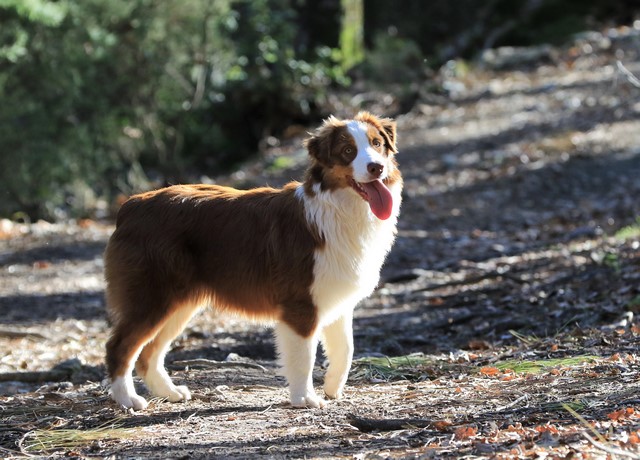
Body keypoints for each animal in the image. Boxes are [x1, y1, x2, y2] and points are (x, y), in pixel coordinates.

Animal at [104, 111, 402, 410]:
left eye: (377, 144)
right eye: (348, 151)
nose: (376, 168)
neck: (339, 207)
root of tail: (131, 205)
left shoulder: (336, 298)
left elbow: (346, 349)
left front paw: (332, 387)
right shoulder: (299, 304)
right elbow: (304, 356)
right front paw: (305, 398)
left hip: (179, 302)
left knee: (149, 353)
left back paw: (169, 392)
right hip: (152, 297)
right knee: (119, 347)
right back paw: (128, 399)